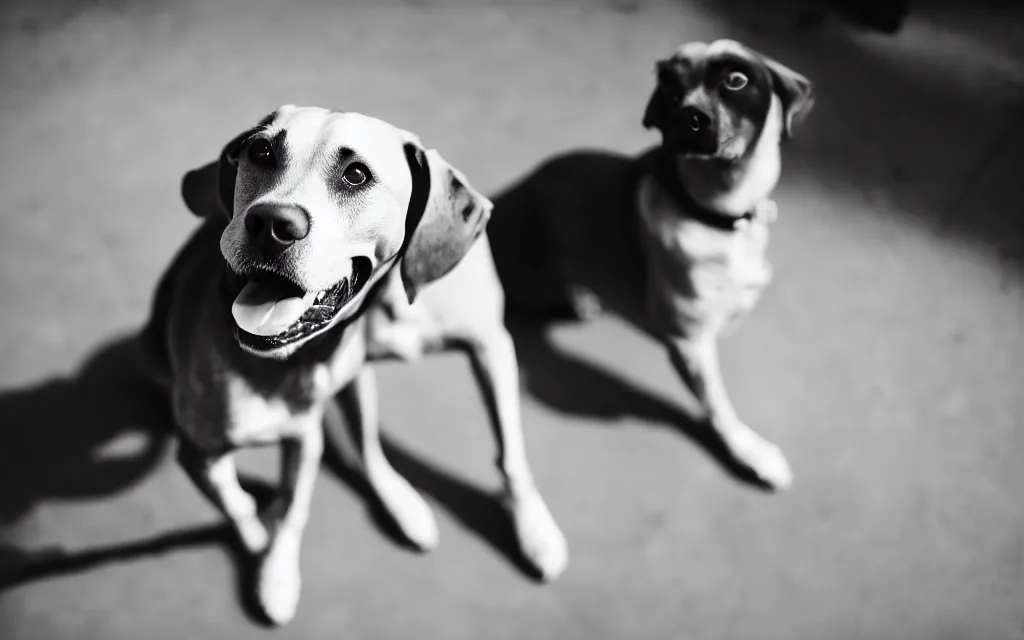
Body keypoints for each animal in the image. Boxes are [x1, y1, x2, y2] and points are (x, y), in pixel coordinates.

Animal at [144, 105, 569, 622]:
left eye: (356, 175)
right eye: (261, 151)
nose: (269, 223)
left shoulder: (491, 345)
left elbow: (510, 450)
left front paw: (535, 530)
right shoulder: (203, 454)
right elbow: (247, 505)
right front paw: (267, 560)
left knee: (368, 447)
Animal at [487, 39, 815, 489]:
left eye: (736, 79)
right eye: (670, 91)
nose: (690, 117)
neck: (717, 215)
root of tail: (506, 195)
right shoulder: (688, 343)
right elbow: (717, 403)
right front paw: (749, 451)